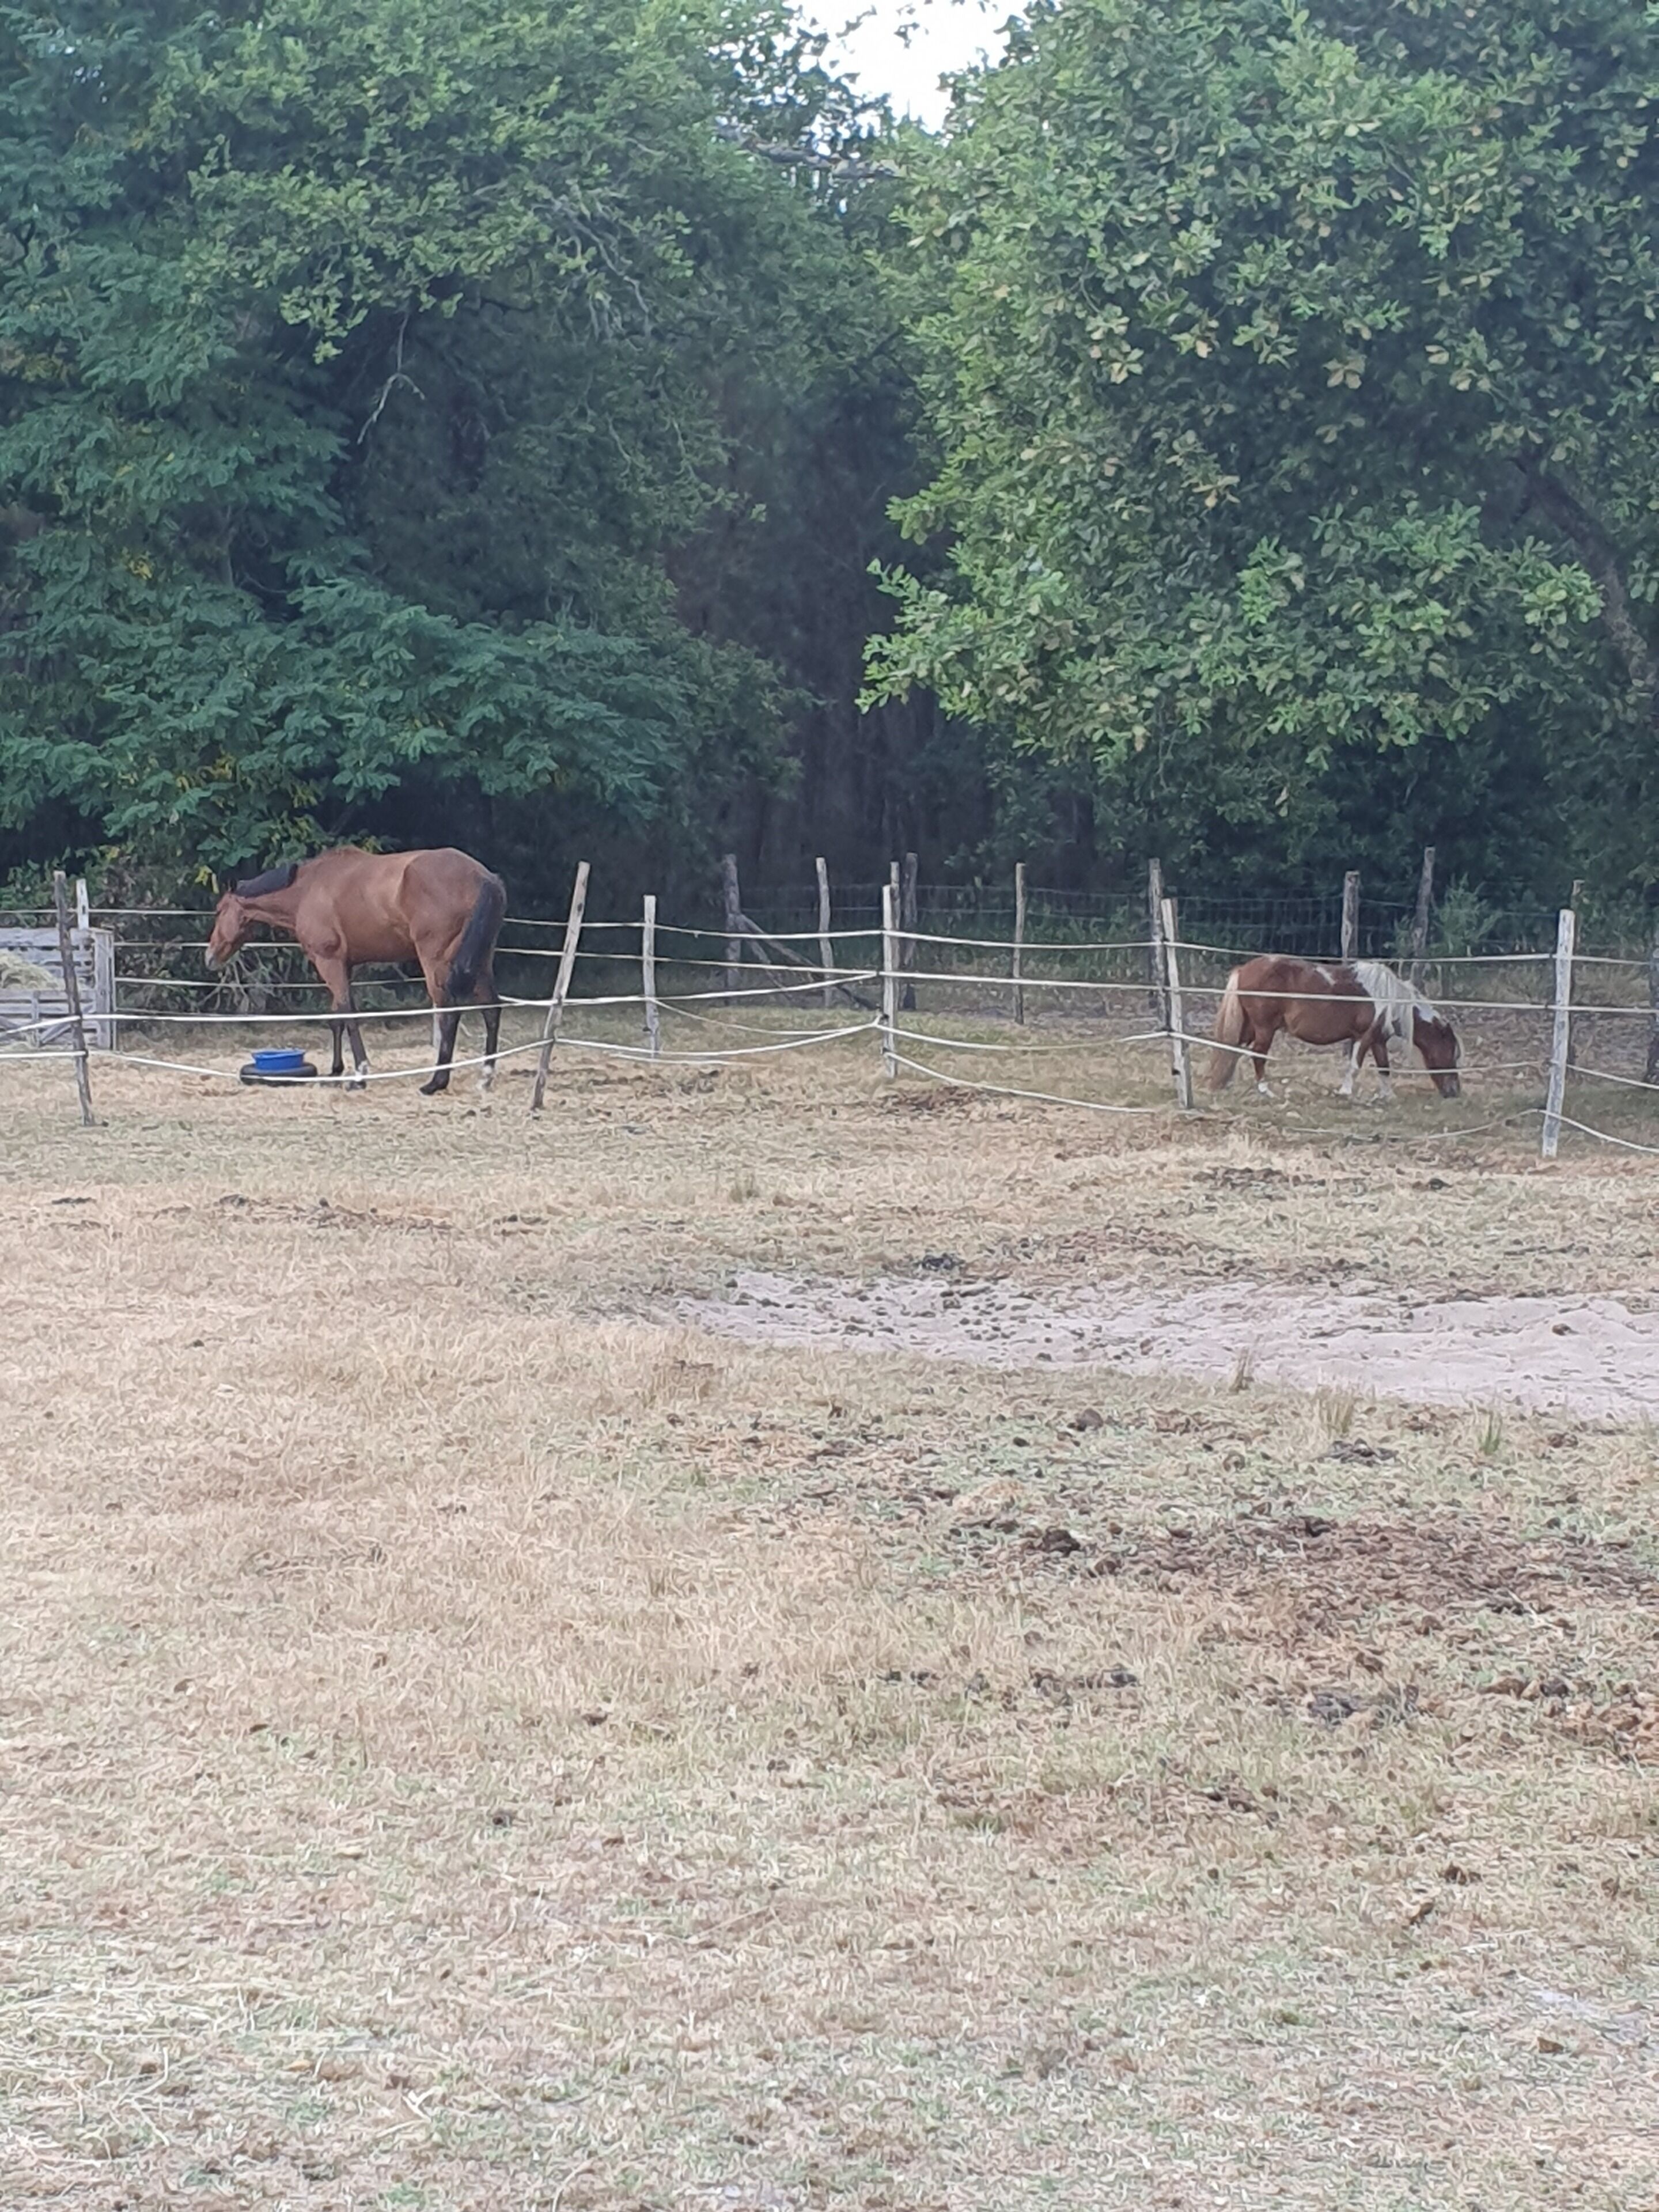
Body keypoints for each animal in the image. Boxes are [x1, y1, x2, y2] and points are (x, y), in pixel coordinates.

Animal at [205, 846, 507, 1095]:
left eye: (219, 910)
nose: (210, 956)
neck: (307, 890)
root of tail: (484, 877)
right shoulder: (343, 965)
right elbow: (337, 1017)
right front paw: (335, 1071)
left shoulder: (328, 962)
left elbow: (349, 1015)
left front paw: (360, 1075)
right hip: (481, 962)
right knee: (491, 1010)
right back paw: (486, 1077)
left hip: (437, 963)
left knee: (449, 1015)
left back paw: (436, 1082)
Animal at [1207, 955, 1460, 1101]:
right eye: (1451, 1051)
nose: (1454, 1091)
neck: (1389, 1000)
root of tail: (1243, 969)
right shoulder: (1364, 1037)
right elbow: (1355, 1066)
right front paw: (1346, 1092)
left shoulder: (1378, 1040)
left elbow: (1384, 1068)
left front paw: (1388, 1096)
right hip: (1264, 1030)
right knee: (1258, 1056)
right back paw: (1265, 1091)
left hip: (1249, 1027)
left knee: (1233, 1048)